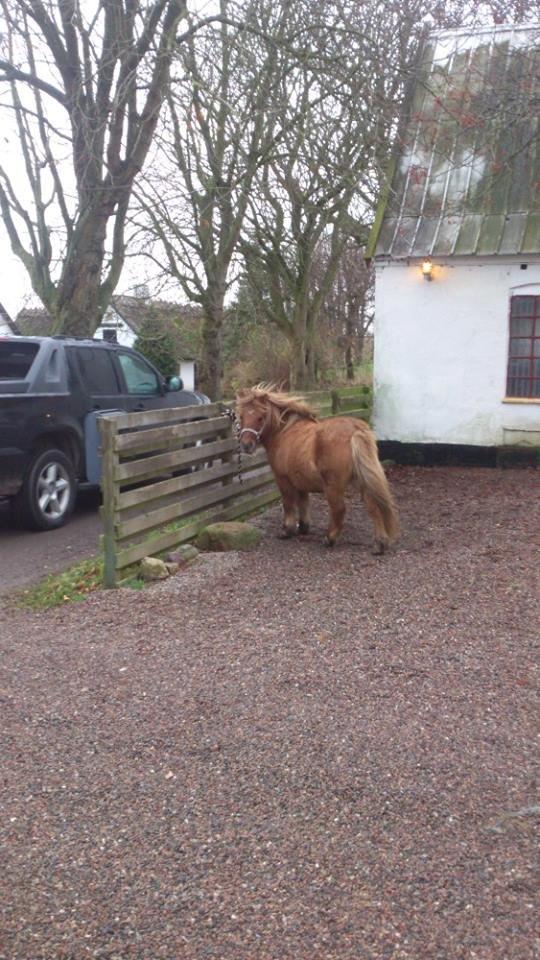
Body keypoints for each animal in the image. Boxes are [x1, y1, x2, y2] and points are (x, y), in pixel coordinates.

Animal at [234, 384, 398, 556]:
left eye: (261, 417)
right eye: (241, 416)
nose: (246, 445)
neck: (284, 431)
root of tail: (355, 430)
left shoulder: (283, 479)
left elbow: (288, 503)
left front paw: (287, 530)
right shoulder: (300, 480)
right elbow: (303, 502)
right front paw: (303, 527)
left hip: (333, 486)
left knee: (339, 510)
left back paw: (329, 538)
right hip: (362, 482)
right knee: (374, 507)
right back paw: (380, 544)